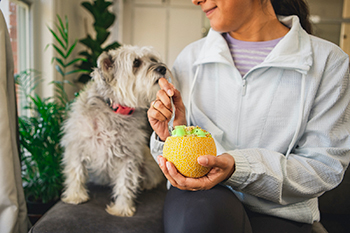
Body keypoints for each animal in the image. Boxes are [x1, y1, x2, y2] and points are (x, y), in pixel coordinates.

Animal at [60, 45, 166, 217]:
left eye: (153, 59)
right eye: (136, 63)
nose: (163, 68)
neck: (114, 109)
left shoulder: (129, 156)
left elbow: (125, 183)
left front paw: (122, 209)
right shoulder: (77, 145)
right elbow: (76, 171)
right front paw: (75, 196)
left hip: (149, 164)